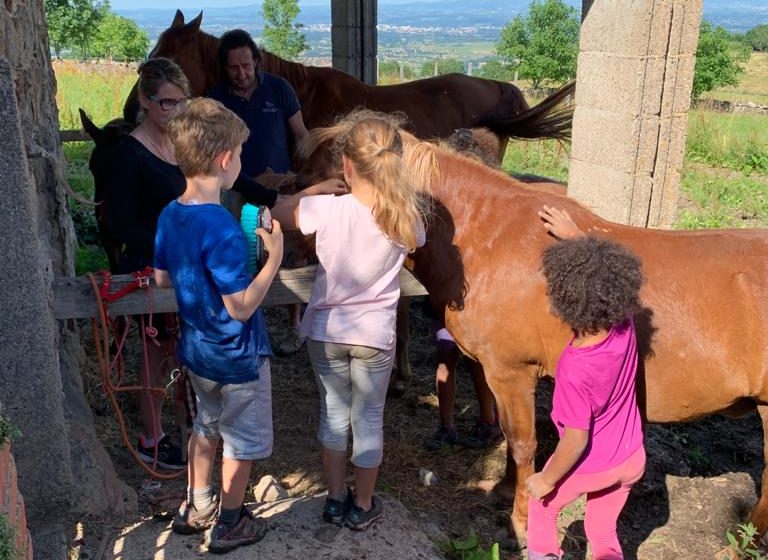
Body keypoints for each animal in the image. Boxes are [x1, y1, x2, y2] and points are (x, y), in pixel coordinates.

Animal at [296, 120, 768, 544]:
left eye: (322, 177)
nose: (290, 220)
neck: (490, 239)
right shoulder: (503, 375)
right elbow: (510, 438)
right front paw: (505, 490)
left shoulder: (511, 372)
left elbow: (524, 445)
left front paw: (520, 523)